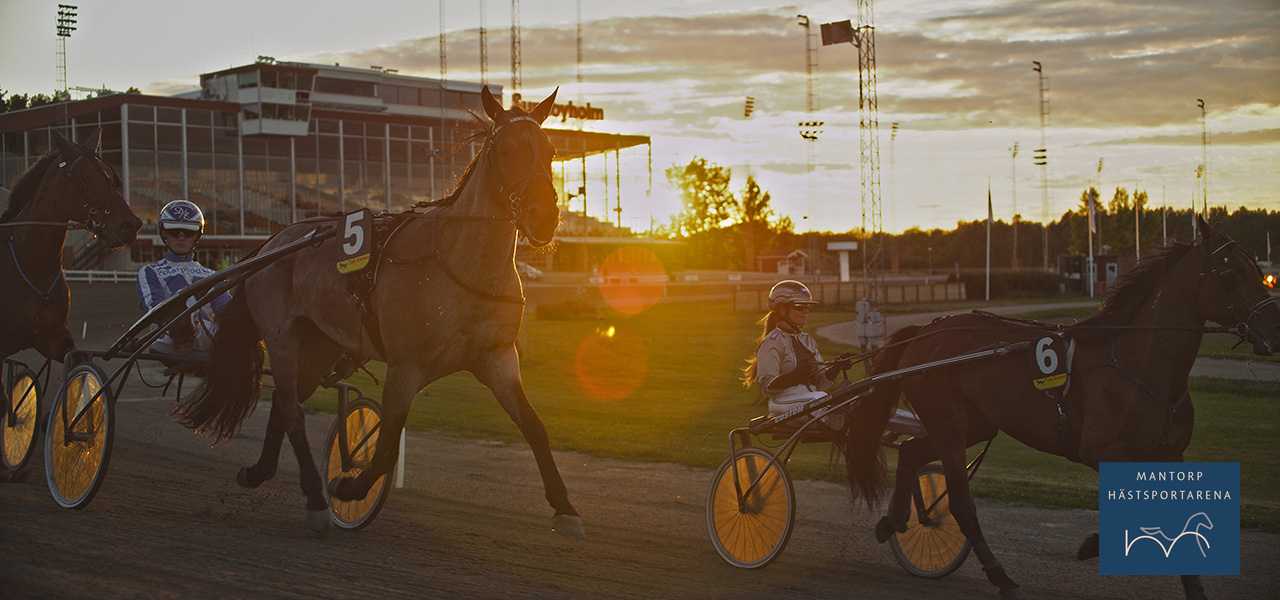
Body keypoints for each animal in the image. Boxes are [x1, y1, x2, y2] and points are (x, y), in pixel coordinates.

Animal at [172, 85, 583, 537]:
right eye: (507, 149)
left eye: (550, 151)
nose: (544, 217)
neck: (458, 264)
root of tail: (274, 241)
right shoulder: (407, 365)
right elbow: (385, 446)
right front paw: (348, 487)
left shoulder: (497, 358)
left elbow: (535, 427)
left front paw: (565, 507)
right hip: (281, 337)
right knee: (293, 411)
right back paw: (316, 498)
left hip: (320, 346)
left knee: (282, 402)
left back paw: (260, 471)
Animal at [839, 216, 1280, 598]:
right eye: (1231, 274)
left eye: (1258, 268)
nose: (1274, 327)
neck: (1140, 364)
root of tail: (924, 331)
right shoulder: (1101, 451)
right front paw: (1090, 545)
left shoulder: (1170, 454)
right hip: (948, 422)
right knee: (961, 504)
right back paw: (1000, 575)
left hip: (976, 424)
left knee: (911, 451)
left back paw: (894, 521)